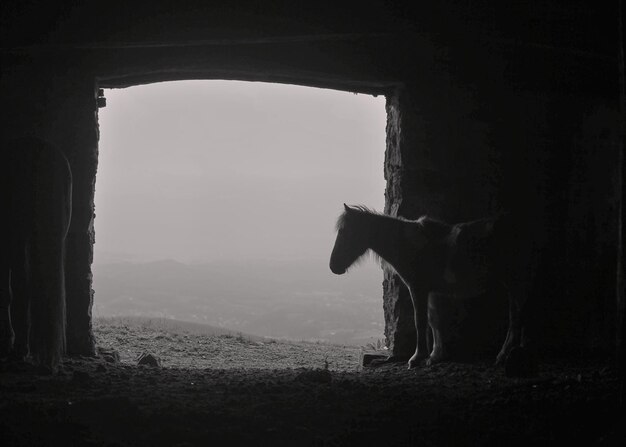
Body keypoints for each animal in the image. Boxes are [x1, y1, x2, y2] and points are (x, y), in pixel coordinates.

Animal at [326, 205, 532, 370]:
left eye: (344, 232)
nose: (333, 266)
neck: (410, 244)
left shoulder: (418, 288)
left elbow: (421, 321)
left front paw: (416, 359)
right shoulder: (431, 292)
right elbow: (434, 320)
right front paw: (435, 356)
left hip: (515, 282)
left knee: (516, 316)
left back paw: (506, 355)